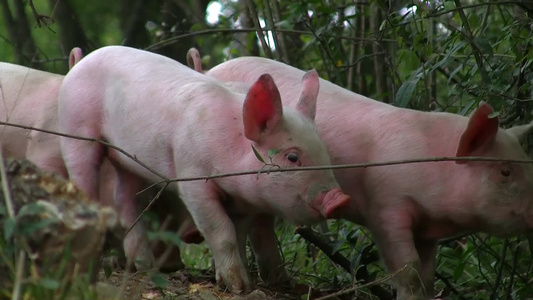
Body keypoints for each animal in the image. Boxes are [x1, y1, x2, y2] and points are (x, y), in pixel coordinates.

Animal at [57, 46, 350, 292]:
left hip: (127, 162)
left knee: (127, 202)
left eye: (324, 152)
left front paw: (237, 282)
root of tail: (82, 61)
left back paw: (146, 267)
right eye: (292, 157)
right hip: (76, 131)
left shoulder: (243, 202)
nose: (340, 199)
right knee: (83, 180)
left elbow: (239, 235)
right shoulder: (193, 179)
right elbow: (221, 232)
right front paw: (239, 287)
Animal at [205, 55, 533, 298]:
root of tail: (213, 68)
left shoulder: (427, 230)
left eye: (526, 164)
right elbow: (408, 268)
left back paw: (282, 282)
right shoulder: (386, 205)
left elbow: (428, 275)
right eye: (505, 171)